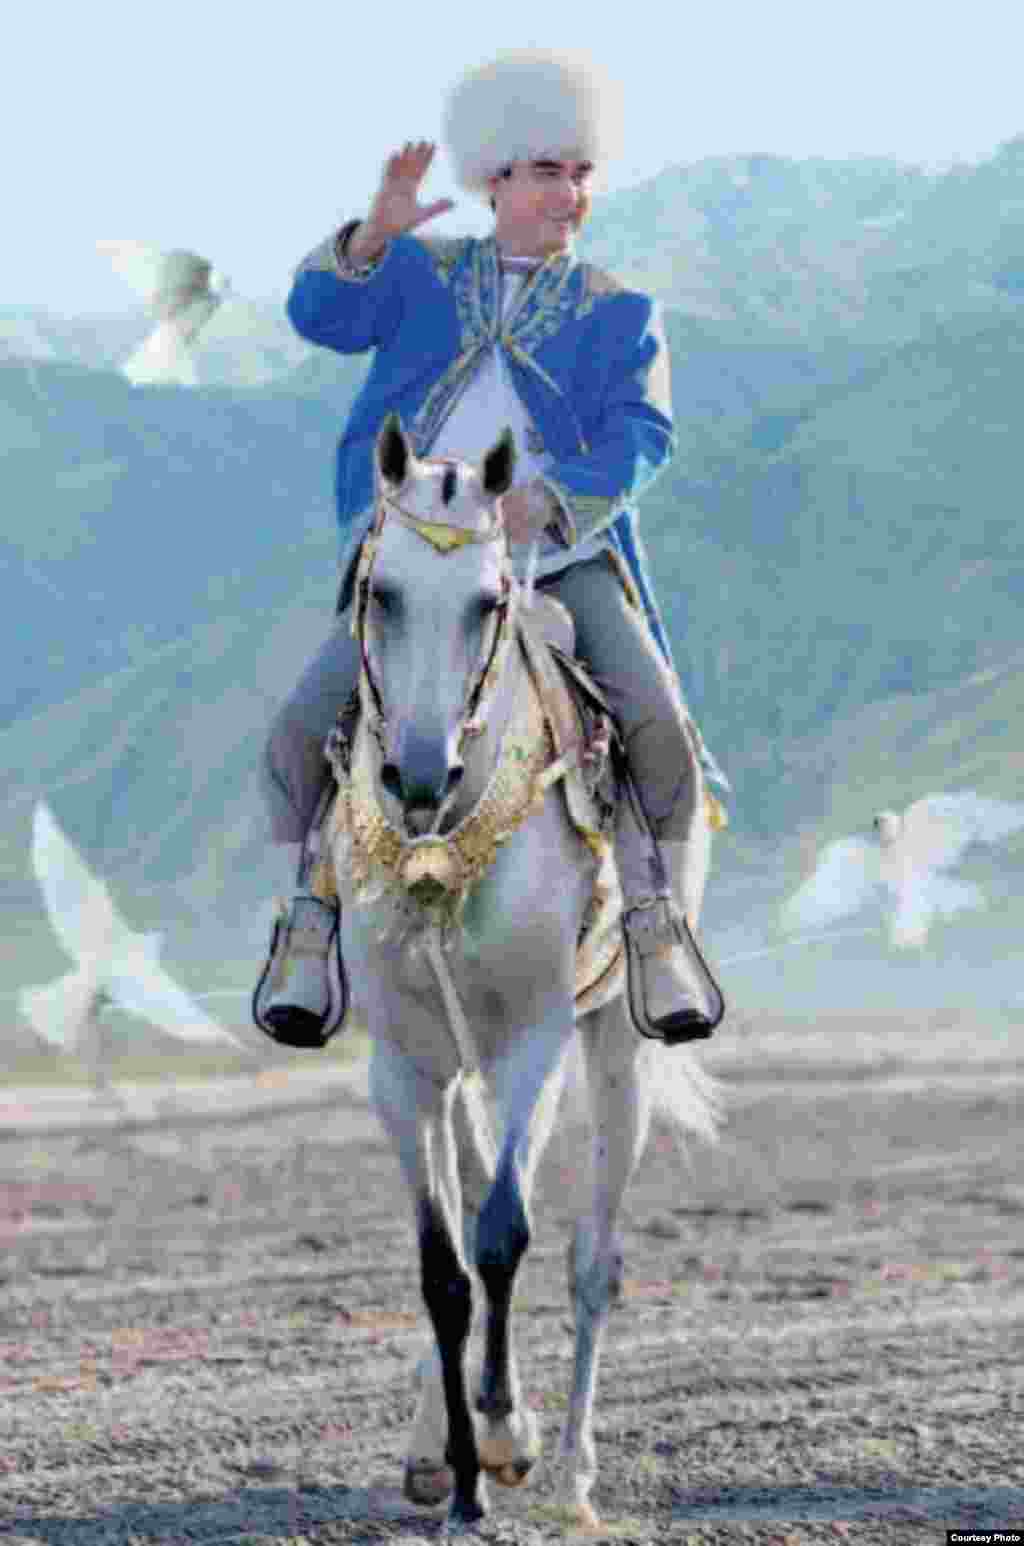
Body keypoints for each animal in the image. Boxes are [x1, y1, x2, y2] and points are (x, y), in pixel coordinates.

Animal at [318, 413, 720, 1532]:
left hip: (611, 1049)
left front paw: (501, 1438)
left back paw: (574, 1471)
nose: (418, 772)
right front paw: (458, 1480)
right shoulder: (404, 1066)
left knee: (592, 1260)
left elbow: (503, 1237)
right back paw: (432, 1450)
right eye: (378, 590)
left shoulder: (533, 1039)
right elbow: (442, 1269)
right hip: (465, 1071)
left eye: (489, 599)